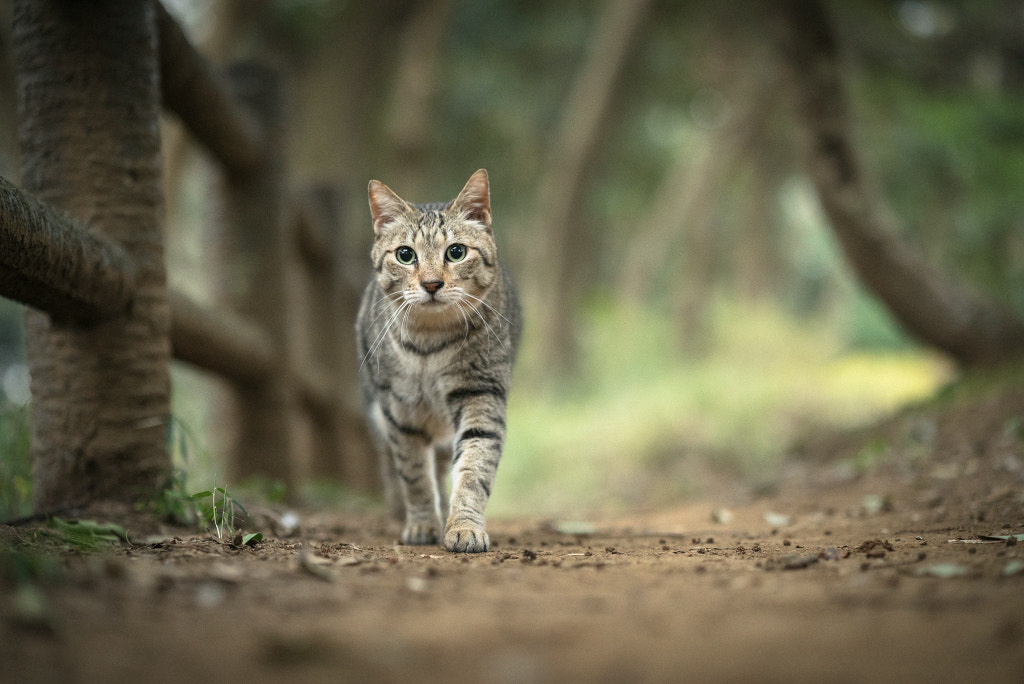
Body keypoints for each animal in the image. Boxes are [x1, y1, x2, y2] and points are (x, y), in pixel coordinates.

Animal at [356, 167, 524, 552]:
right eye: (405, 255)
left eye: (456, 252)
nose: (432, 283)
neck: (430, 344)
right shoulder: (399, 411)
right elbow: (414, 476)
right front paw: (421, 525)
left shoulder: (480, 394)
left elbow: (473, 470)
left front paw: (463, 526)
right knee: (395, 468)